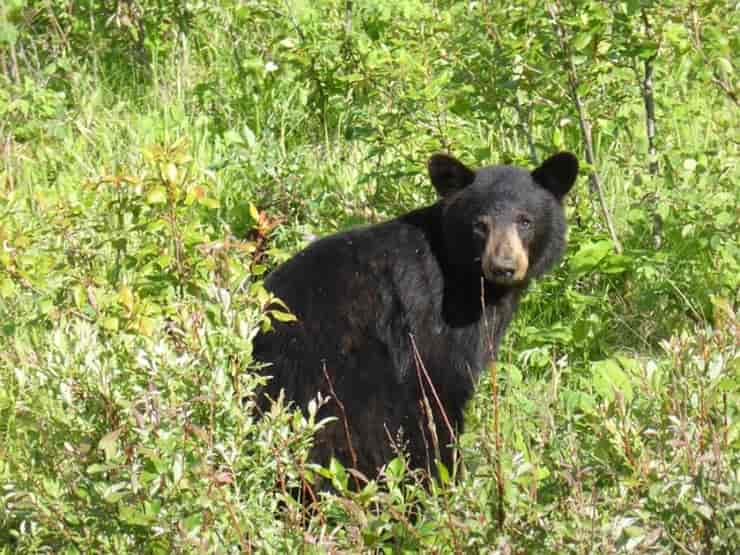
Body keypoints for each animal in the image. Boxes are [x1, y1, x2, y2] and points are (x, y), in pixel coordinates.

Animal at [252, 151, 578, 485]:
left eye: (525, 221)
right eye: (480, 224)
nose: (503, 266)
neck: (464, 277)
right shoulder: (432, 319)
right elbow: (439, 392)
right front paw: (446, 476)